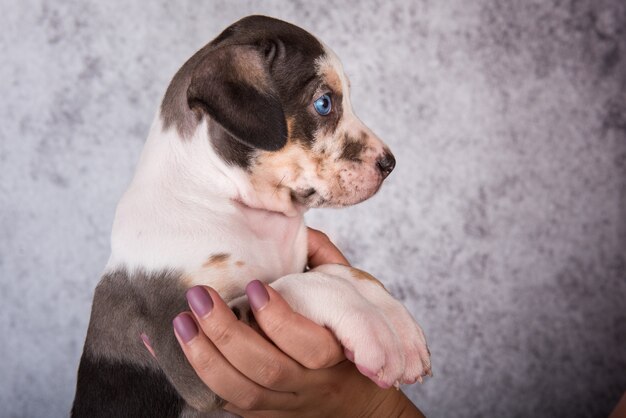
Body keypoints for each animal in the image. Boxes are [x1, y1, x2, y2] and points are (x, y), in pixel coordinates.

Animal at [69, 14, 428, 416]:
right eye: (323, 103)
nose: (390, 164)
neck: (232, 202)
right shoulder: (185, 340)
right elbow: (283, 286)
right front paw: (373, 329)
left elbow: (333, 271)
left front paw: (391, 318)